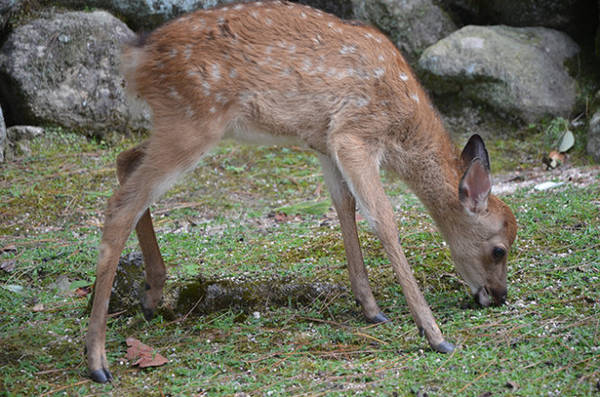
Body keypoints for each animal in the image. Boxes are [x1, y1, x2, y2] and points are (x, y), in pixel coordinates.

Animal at [84, 0, 516, 384]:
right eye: (499, 249)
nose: (498, 295)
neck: (403, 130)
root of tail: (135, 55)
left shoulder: (325, 143)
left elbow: (344, 206)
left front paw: (371, 308)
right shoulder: (354, 133)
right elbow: (384, 219)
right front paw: (434, 334)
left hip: (178, 124)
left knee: (125, 160)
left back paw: (151, 294)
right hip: (193, 118)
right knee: (120, 206)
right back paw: (97, 361)